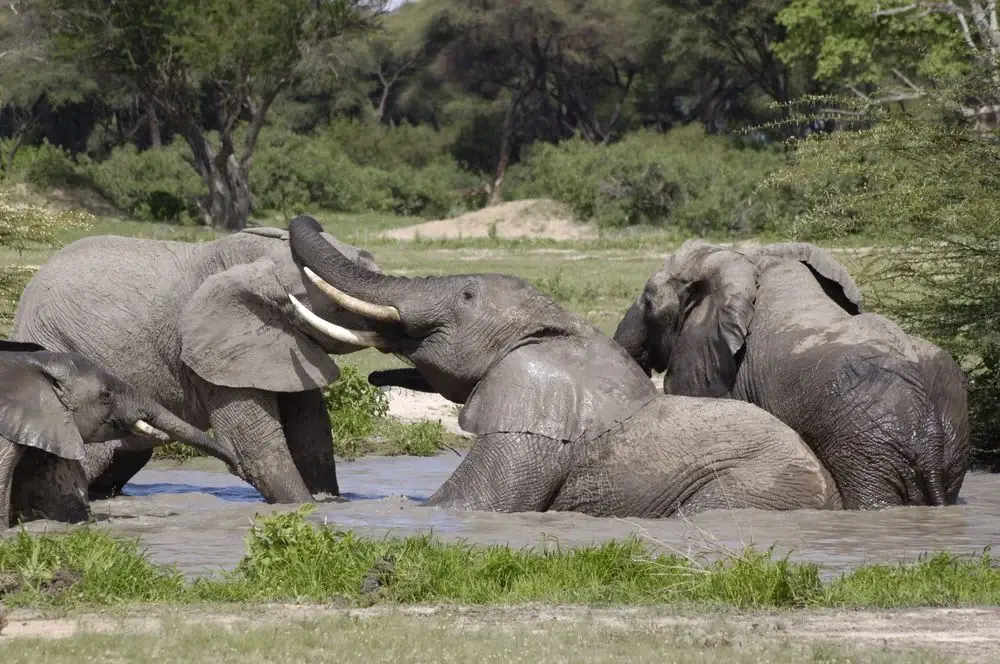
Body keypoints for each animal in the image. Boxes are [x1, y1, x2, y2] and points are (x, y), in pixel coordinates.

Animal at [11, 226, 384, 504]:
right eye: (337, 307)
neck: (245, 262)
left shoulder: (284, 344)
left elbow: (312, 434)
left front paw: (329, 504)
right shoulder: (210, 351)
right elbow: (257, 447)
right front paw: (304, 507)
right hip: (57, 344)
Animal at [279, 215, 842, 517]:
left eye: (466, 295)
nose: (313, 219)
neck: (564, 331)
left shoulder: (531, 429)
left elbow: (468, 504)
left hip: (752, 490)